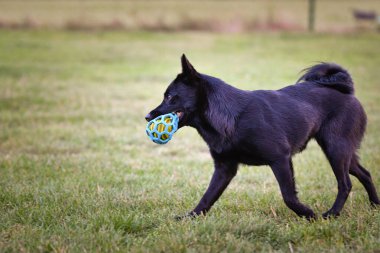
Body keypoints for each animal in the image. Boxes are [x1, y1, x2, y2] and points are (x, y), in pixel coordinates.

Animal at [145, 55, 378, 219]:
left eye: (169, 96)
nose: (147, 116)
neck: (230, 116)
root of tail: (345, 89)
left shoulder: (281, 159)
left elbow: (289, 196)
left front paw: (309, 215)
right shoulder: (224, 168)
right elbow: (207, 197)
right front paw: (190, 217)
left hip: (335, 149)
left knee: (345, 184)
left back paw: (332, 214)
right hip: (344, 152)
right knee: (365, 174)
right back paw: (375, 205)